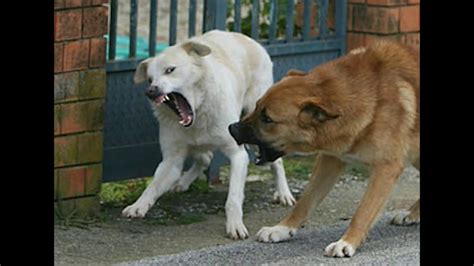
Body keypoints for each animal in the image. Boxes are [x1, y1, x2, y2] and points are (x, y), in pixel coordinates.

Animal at [120, 29, 294, 239]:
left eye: (170, 70)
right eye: (149, 79)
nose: (150, 91)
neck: (199, 110)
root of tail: (247, 38)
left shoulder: (238, 155)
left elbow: (233, 198)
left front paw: (235, 225)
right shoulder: (171, 160)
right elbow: (152, 186)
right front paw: (138, 206)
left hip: (255, 128)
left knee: (276, 161)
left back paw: (283, 193)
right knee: (205, 157)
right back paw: (182, 183)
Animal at [230, 39, 418, 258]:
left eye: (267, 118)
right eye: (257, 106)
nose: (232, 129)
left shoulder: (386, 168)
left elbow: (363, 212)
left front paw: (347, 242)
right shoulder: (330, 160)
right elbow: (305, 201)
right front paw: (283, 228)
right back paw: (412, 214)